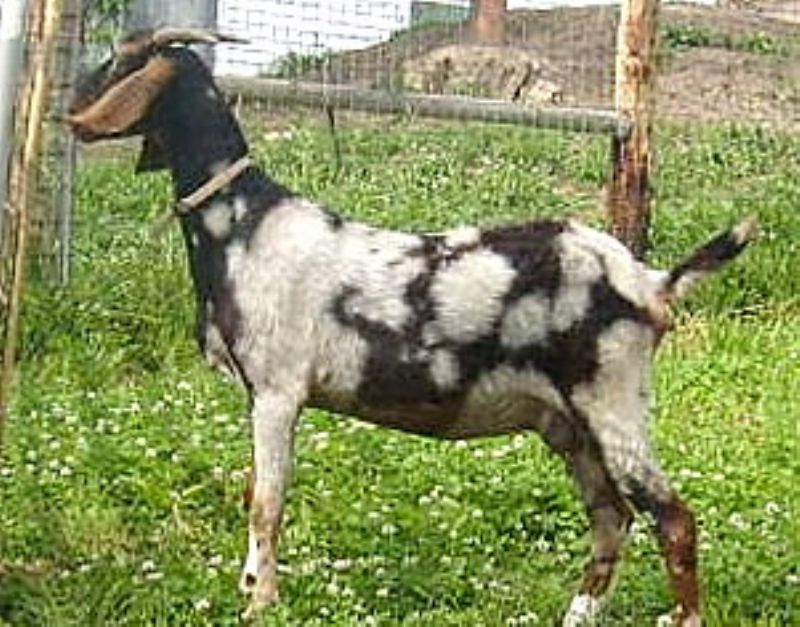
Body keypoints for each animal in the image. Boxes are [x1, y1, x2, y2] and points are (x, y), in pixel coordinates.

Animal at [68, 29, 755, 626]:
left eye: (121, 61)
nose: (70, 115)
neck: (244, 226)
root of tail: (652, 282)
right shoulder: (262, 395)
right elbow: (254, 493)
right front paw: (250, 585)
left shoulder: (278, 390)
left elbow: (266, 503)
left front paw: (260, 603)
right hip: (569, 424)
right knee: (613, 518)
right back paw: (576, 614)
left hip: (613, 402)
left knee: (673, 518)